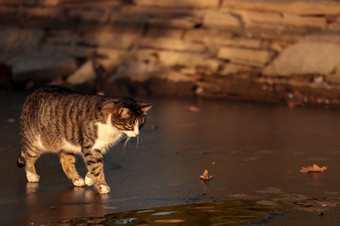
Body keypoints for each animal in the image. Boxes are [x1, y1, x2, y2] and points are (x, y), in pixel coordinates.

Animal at [17, 85, 151, 193]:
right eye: (130, 125)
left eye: (140, 125)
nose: (137, 134)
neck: (111, 127)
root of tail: (31, 95)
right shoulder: (90, 146)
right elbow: (96, 167)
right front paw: (102, 186)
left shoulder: (101, 147)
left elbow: (97, 164)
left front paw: (89, 179)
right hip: (36, 141)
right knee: (28, 157)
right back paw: (32, 175)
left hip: (67, 143)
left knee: (65, 161)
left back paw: (77, 180)